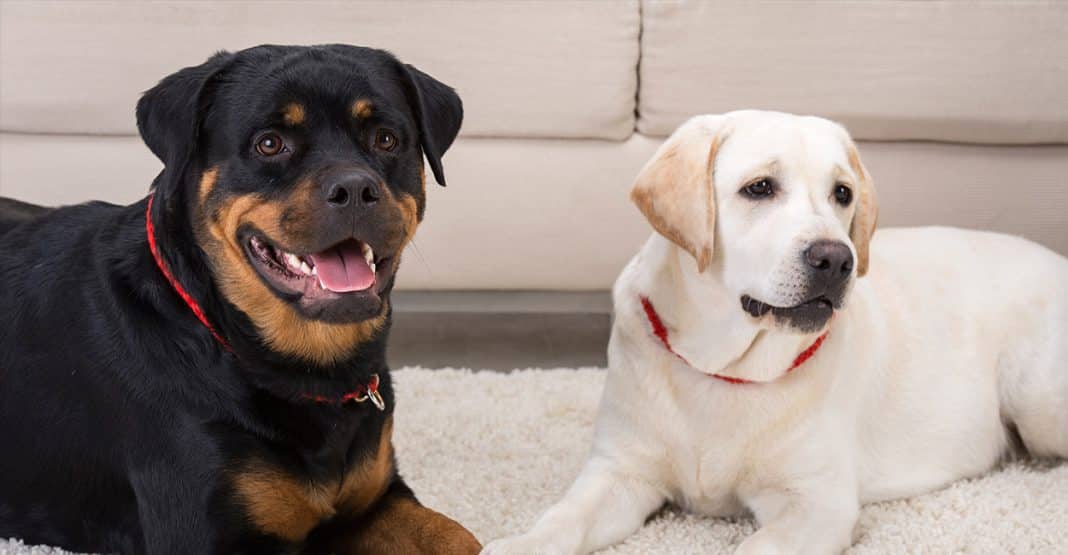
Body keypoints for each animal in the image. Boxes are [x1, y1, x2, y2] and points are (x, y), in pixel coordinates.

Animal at [0, 44, 476, 555]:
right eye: (269, 144)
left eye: (386, 139)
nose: (354, 188)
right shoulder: (208, 532)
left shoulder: (378, 495)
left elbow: (458, 534)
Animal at [487, 110, 1068, 550]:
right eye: (760, 188)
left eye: (842, 193)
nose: (837, 259)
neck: (722, 369)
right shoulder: (619, 471)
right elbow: (561, 519)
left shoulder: (815, 504)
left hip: (1036, 402)